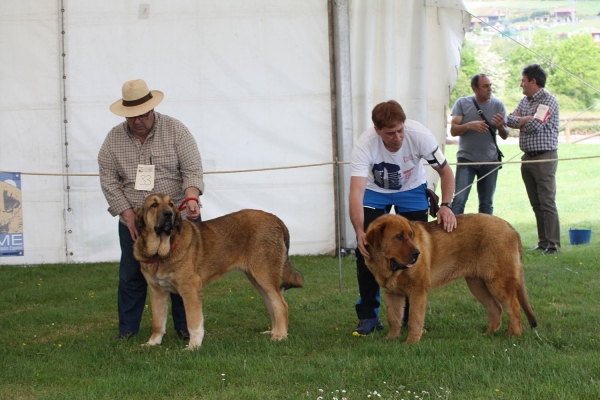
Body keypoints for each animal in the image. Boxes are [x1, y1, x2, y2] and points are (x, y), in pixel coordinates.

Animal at [133, 194, 302, 350]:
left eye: (171, 204)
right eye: (154, 205)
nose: (169, 214)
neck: (160, 252)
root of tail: (277, 220)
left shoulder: (190, 289)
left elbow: (193, 323)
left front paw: (193, 346)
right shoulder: (157, 292)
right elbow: (158, 322)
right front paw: (152, 343)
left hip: (264, 275)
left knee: (281, 305)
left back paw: (280, 336)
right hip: (258, 280)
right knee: (272, 303)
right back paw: (274, 331)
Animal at [364, 212, 536, 344]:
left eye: (410, 236)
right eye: (399, 237)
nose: (417, 253)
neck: (390, 268)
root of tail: (511, 228)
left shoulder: (417, 291)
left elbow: (414, 319)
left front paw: (411, 342)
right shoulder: (392, 293)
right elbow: (393, 318)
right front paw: (390, 339)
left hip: (498, 282)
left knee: (513, 308)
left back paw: (513, 336)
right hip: (477, 284)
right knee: (495, 308)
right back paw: (488, 335)